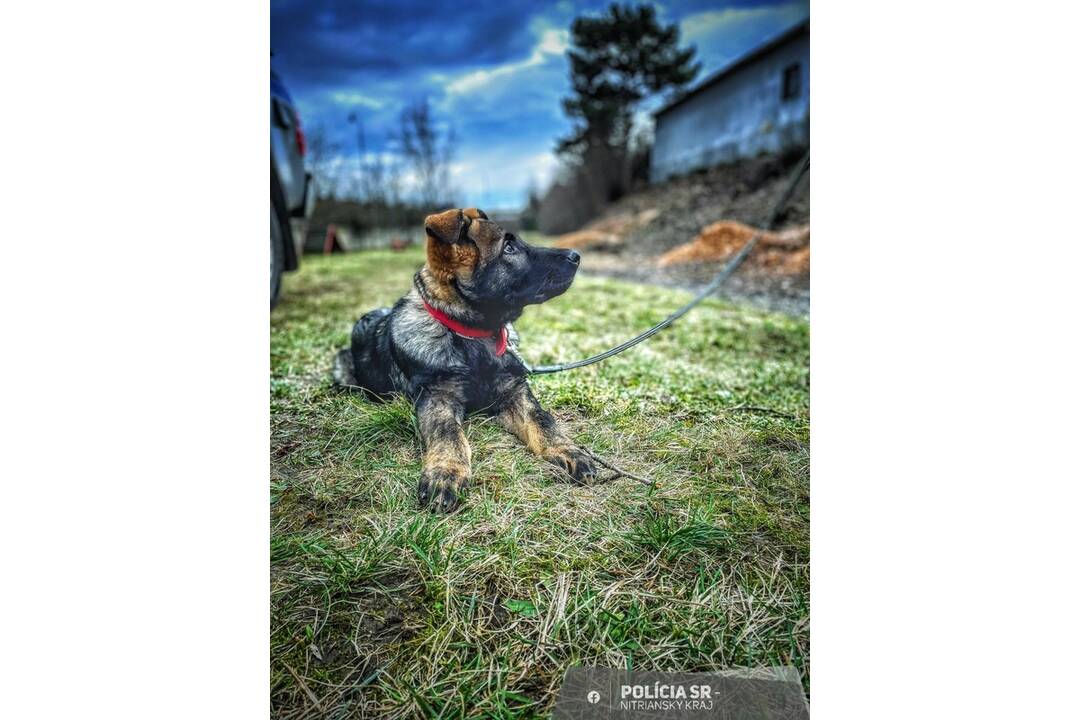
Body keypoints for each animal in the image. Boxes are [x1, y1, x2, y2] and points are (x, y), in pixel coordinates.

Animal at [332, 208, 596, 511]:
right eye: (509, 248)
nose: (576, 255)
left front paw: (568, 449)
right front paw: (446, 472)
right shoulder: (438, 398)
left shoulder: (514, 392)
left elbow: (542, 420)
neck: (472, 336)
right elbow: (448, 433)